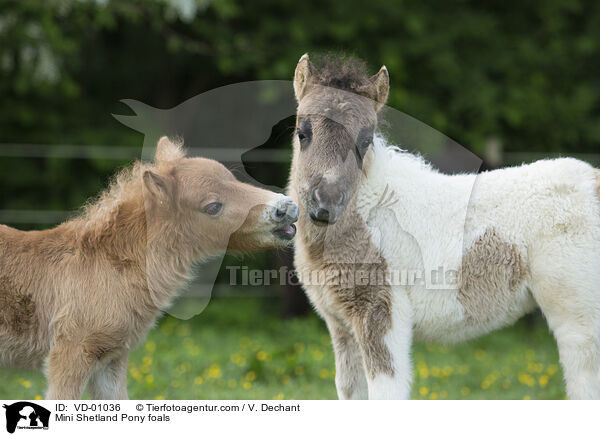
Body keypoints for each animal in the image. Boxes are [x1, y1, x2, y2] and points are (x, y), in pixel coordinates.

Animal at [0, 138, 298, 400]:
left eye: (233, 179)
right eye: (212, 207)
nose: (287, 208)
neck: (104, 267)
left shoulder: (110, 358)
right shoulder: (71, 353)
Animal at [288, 52, 600, 400]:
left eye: (365, 140)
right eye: (302, 132)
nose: (325, 204)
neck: (369, 214)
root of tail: (594, 181)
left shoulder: (383, 312)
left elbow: (386, 392)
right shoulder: (341, 324)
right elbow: (349, 391)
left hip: (579, 319)